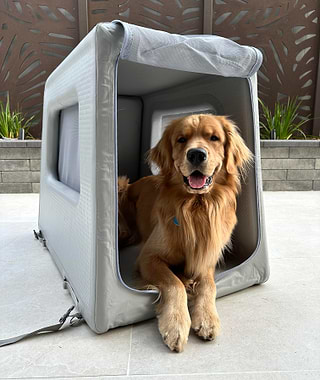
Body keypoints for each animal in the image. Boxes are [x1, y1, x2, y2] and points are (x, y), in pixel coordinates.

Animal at [117, 114, 252, 352]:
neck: (195, 207)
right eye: (181, 139)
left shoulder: (206, 256)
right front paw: (176, 324)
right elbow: (174, 283)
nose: (196, 153)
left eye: (214, 138)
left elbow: (209, 284)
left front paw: (207, 318)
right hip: (122, 190)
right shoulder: (148, 258)